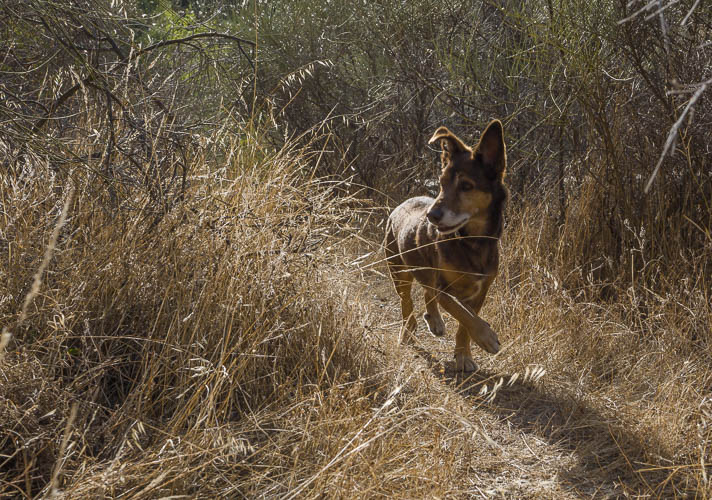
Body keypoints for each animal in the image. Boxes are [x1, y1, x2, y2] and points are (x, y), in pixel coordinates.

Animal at [386, 120, 508, 372]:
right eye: (441, 184)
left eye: (467, 186)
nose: (431, 216)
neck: (472, 242)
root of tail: (400, 206)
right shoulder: (444, 289)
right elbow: (463, 314)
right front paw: (486, 337)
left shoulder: (481, 290)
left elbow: (466, 322)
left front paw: (463, 355)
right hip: (398, 269)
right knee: (407, 301)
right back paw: (408, 330)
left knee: (426, 291)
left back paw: (434, 321)